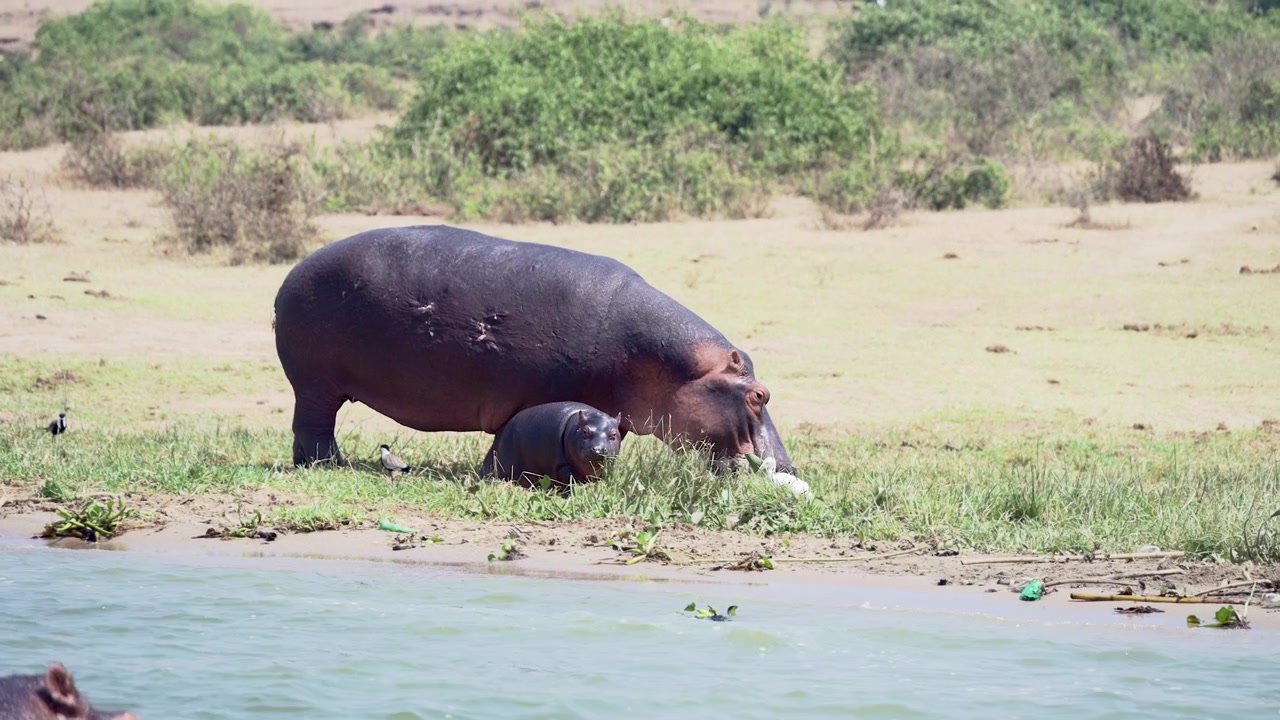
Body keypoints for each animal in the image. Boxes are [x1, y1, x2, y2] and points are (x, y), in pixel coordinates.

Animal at [272, 224, 793, 474]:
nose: (786, 466)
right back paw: (329, 466)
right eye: (759, 395)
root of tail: (292, 271)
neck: (673, 368)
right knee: (315, 426)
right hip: (315, 383)